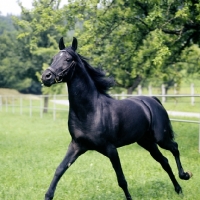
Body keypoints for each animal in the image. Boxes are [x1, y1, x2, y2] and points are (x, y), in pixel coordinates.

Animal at [41, 36, 191, 199]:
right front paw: (48, 195)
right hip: (147, 142)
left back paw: (185, 175)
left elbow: (121, 180)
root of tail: (152, 100)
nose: (46, 77)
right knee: (164, 162)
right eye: (54, 58)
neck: (90, 111)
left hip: (160, 138)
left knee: (174, 148)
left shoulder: (111, 149)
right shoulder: (77, 146)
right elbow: (59, 170)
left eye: (68, 59)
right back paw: (178, 189)